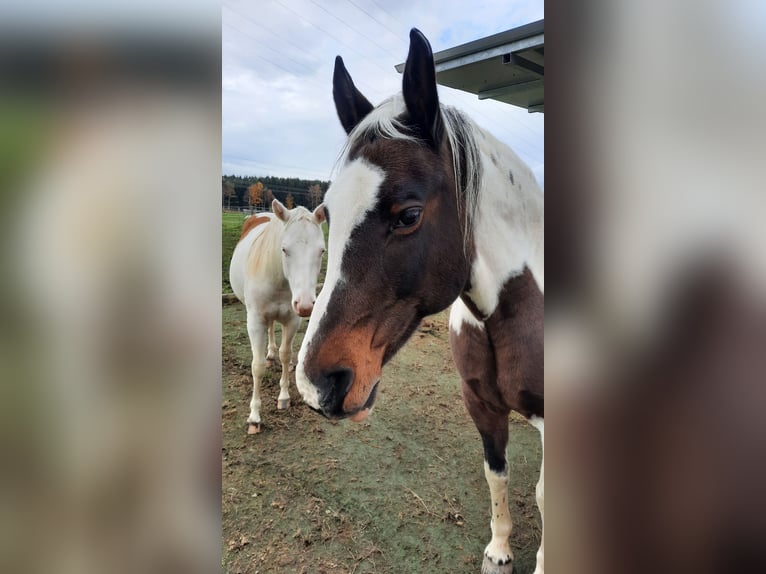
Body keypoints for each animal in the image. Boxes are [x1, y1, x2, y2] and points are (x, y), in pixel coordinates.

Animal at [228, 200, 324, 434]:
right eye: (284, 249)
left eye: (321, 251)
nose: (305, 305)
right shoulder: (255, 322)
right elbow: (257, 366)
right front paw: (254, 417)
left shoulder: (292, 321)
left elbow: (285, 355)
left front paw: (284, 397)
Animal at [298, 29, 544, 572]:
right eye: (328, 212)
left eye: (408, 215)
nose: (317, 384)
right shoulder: (481, 403)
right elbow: (498, 472)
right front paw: (499, 551)